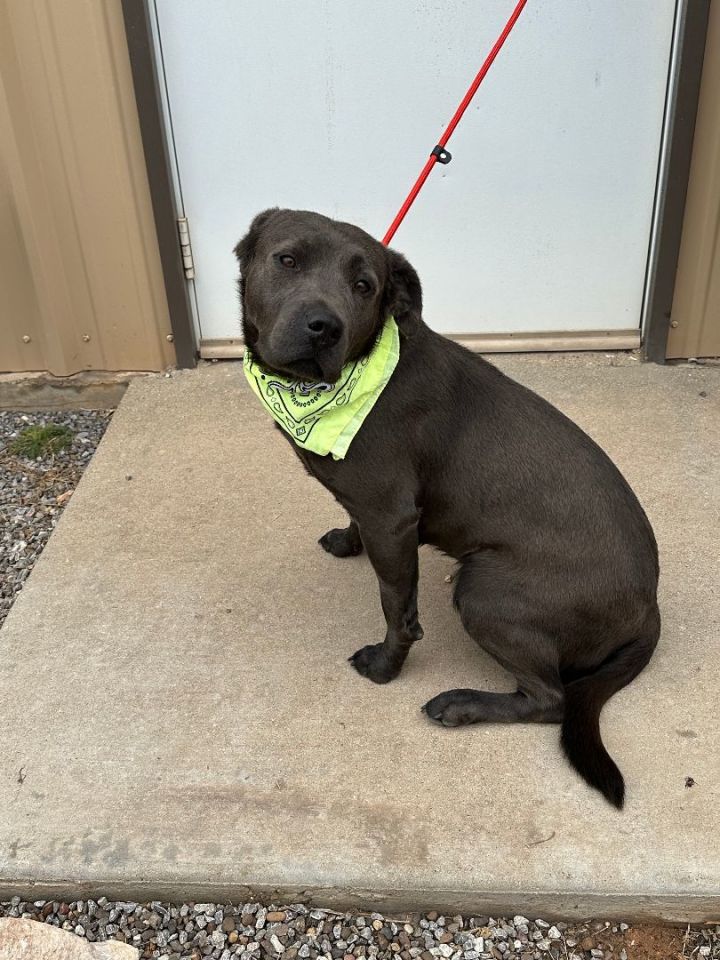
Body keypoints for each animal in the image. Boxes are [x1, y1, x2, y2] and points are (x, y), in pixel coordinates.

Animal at [235, 206, 660, 808]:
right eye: (287, 259)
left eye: (364, 286)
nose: (324, 326)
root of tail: (650, 605)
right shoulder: (374, 508)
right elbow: (356, 522)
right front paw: (346, 540)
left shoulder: (392, 520)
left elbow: (397, 608)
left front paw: (385, 667)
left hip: (486, 591)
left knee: (551, 699)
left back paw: (462, 704)